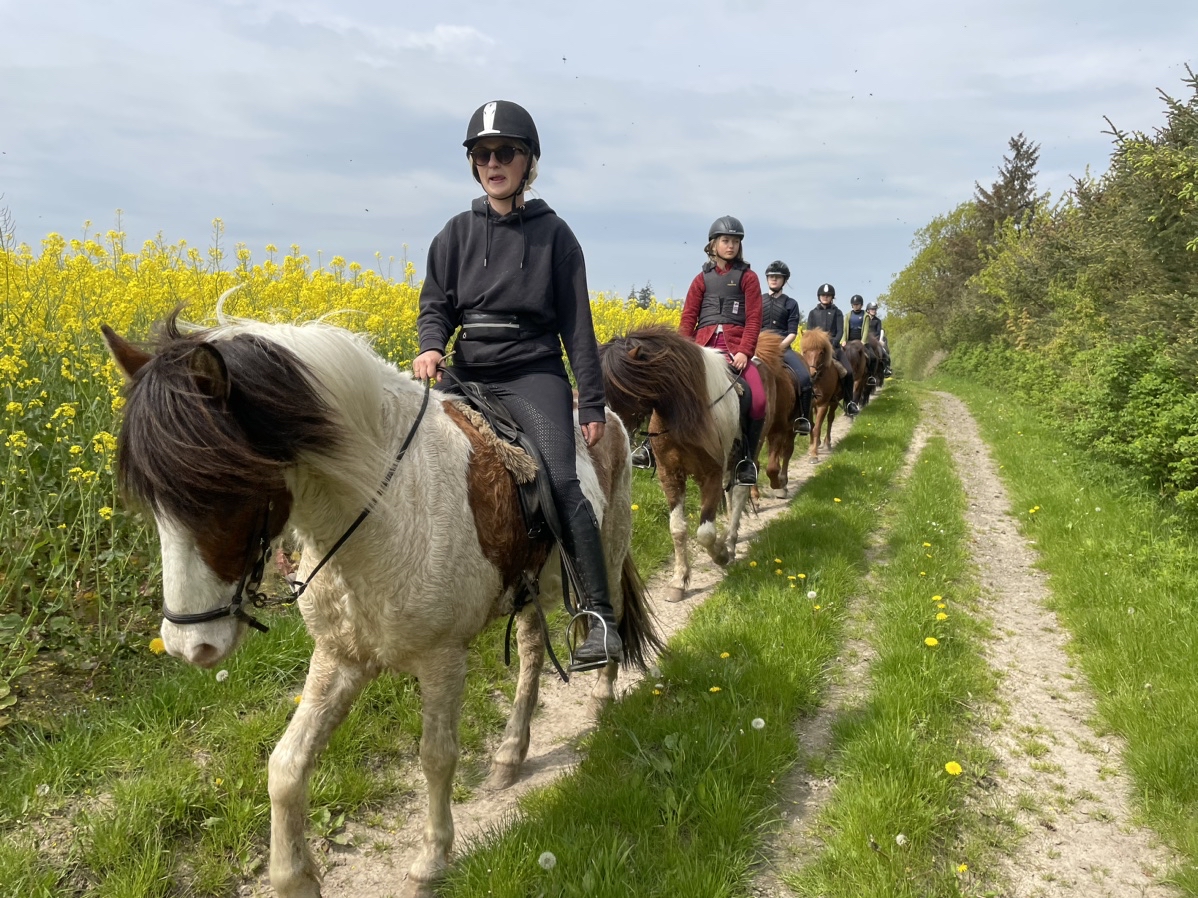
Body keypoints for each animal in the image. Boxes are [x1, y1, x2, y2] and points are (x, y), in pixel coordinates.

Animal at [103, 313, 666, 895]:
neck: (385, 508)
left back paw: (601, 698)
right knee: (532, 651)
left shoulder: (443, 659)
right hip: (530, 591)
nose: (189, 645)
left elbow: (437, 758)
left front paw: (430, 861)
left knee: (609, 618)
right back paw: (510, 755)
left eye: (222, 487)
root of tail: (608, 420)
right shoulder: (340, 656)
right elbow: (285, 765)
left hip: (609, 549)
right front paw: (295, 877)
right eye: (154, 503)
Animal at [599, 325, 785, 605]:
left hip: (748, 451)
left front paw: (720, 554)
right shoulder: (670, 474)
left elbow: (705, 532)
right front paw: (679, 581)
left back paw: (730, 542)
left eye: (620, 390)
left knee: (739, 492)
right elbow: (677, 528)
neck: (682, 413)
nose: (608, 432)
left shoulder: (710, 474)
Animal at [795, 328, 843, 459]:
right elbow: (812, 425)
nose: (812, 374)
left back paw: (827, 443)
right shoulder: (810, 405)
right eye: (805, 351)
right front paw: (812, 446)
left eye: (821, 352)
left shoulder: (823, 404)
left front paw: (814, 454)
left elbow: (817, 428)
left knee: (830, 419)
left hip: (833, 402)